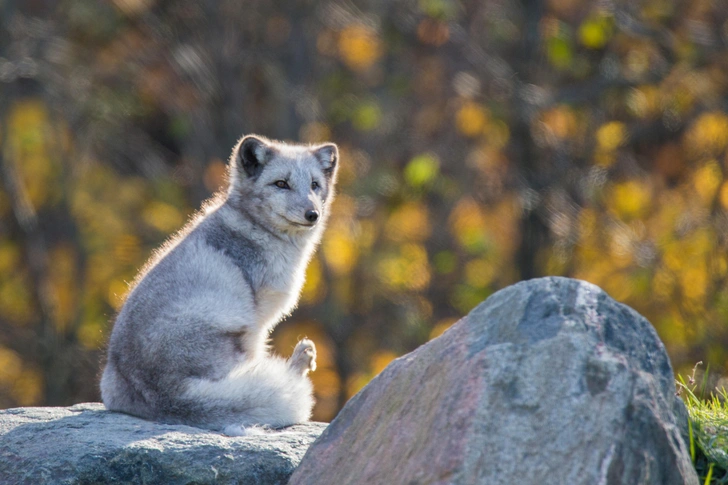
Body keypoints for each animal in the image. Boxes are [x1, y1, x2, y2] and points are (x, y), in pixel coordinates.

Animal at [101, 133, 340, 434]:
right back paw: (298, 364)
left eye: (314, 185)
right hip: (232, 323)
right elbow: (257, 357)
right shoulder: (258, 320)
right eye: (281, 184)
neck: (256, 229)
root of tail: (161, 395)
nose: (313, 214)